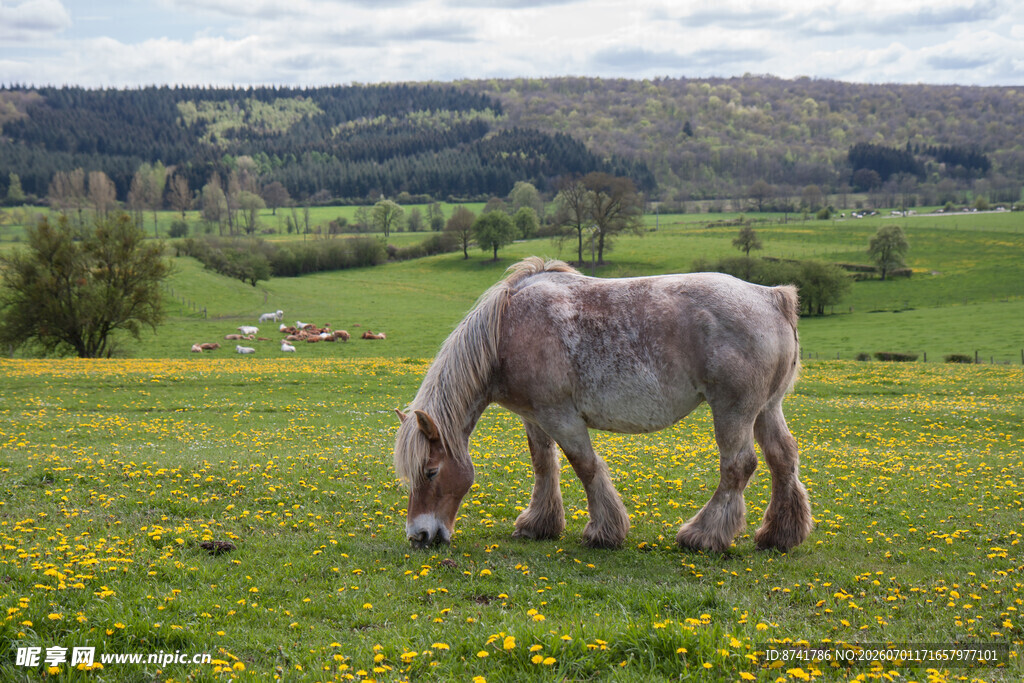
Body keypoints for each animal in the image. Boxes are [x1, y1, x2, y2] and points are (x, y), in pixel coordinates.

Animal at [393, 257, 812, 553]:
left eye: (430, 472)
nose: (419, 535)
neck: (507, 330)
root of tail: (773, 298)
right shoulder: (535, 417)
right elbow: (544, 465)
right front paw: (539, 524)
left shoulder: (561, 417)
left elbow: (585, 466)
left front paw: (603, 532)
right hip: (766, 409)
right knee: (782, 458)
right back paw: (780, 535)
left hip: (733, 411)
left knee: (738, 466)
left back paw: (704, 536)